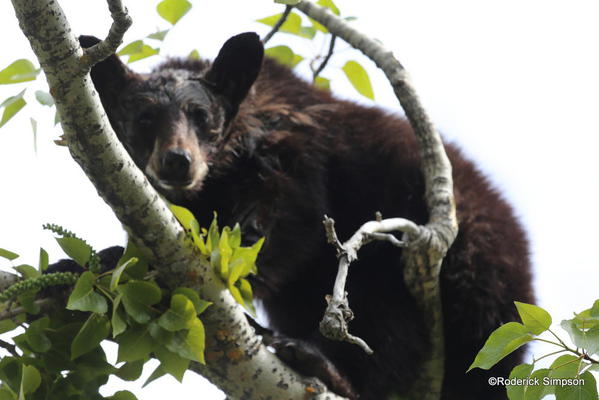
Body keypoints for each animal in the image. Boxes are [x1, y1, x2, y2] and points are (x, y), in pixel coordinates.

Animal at [71, 32, 536, 398]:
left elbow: (286, 230)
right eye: (145, 118)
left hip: (474, 269)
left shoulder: (294, 153)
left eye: (201, 116)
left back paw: (327, 365)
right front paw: (102, 263)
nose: (177, 161)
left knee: (390, 318)